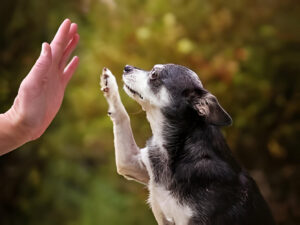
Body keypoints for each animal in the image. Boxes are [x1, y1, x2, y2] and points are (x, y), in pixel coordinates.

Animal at [99, 63, 276, 225]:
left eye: (154, 75)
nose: (127, 67)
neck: (179, 150)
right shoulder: (130, 163)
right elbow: (122, 116)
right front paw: (109, 83)